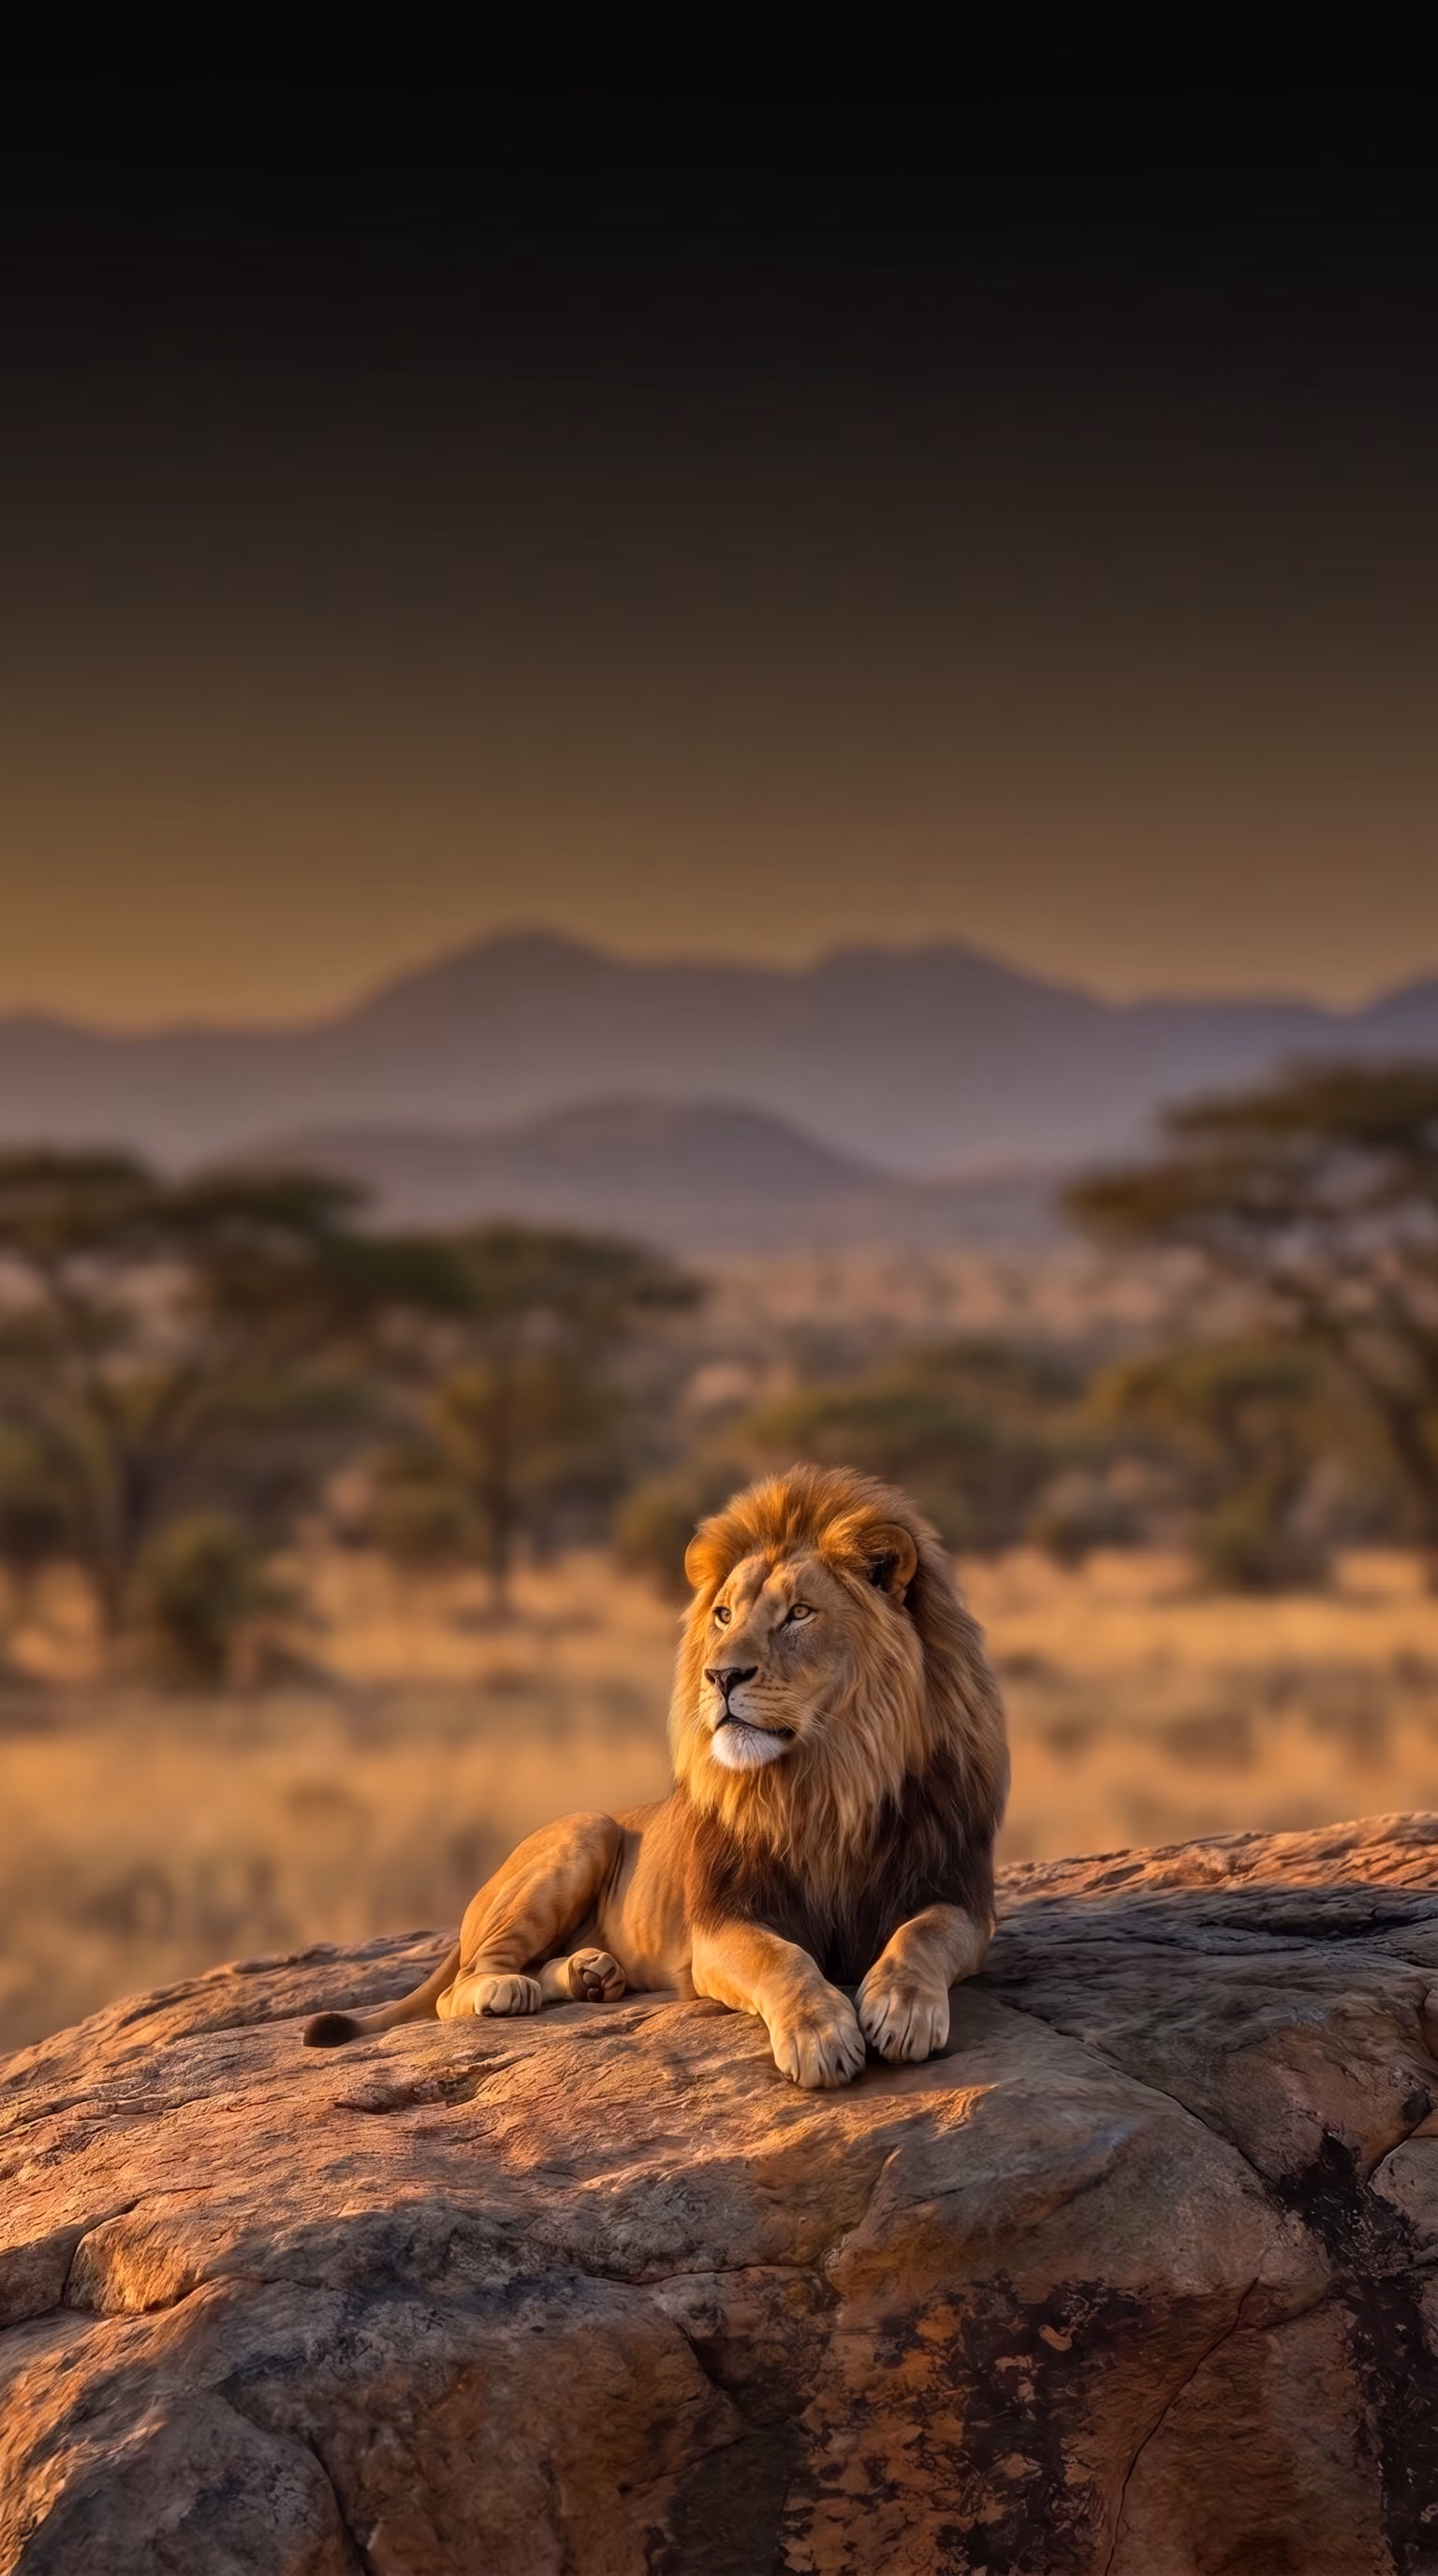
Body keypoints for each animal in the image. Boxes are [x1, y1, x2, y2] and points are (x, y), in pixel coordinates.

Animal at [303, 1464, 1009, 2087]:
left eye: (799, 1614)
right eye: (723, 1615)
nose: (720, 1675)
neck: (827, 1780)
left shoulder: (962, 1897)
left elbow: (922, 1934)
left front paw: (902, 2008)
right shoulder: (718, 1928)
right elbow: (784, 1960)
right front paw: (820, 2035)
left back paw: (590, 1974)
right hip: (585, 1831)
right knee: (460, 1987)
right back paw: (509, 1988)